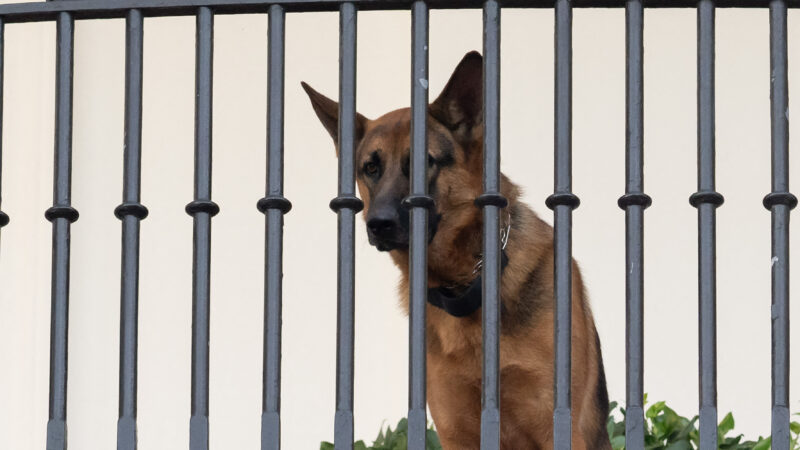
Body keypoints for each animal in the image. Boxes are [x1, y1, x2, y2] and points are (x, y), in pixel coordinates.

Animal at [304, 51, 608, 448]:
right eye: (370, 167)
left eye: (425, 162)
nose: (378, 224)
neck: (464, 284)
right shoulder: (455, 432)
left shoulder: (557, 427)